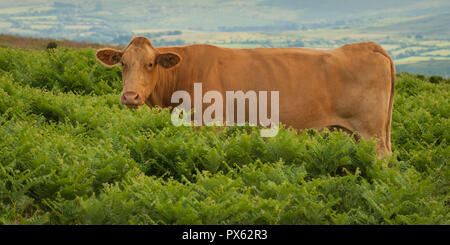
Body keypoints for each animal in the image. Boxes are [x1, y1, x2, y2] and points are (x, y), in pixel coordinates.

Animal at [97, 36, 394, 155]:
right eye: (123, 63)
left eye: (150, 64)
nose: (130, 96)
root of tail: (368, 46)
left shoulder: (211, 124)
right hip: (354, 132)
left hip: (371, 131)